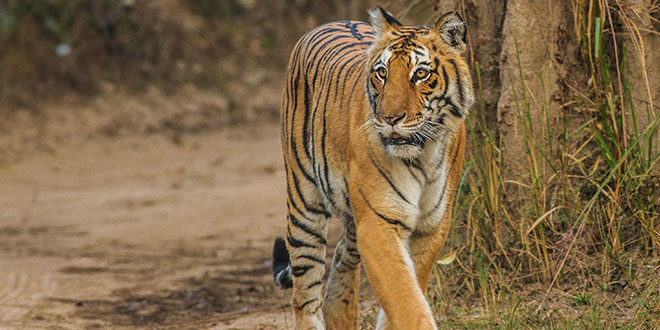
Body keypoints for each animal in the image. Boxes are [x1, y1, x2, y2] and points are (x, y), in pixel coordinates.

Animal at [270, 5, 472, 330]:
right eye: (382, 73)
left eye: (421, 73)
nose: (390, 118)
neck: (423, 155)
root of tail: (329, 22)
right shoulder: (379, 223)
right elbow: (405, 298)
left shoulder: (432, 226)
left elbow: (408, 291)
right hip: (304, 202)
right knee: (305, 295)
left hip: (352, 218)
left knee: (340, 266)